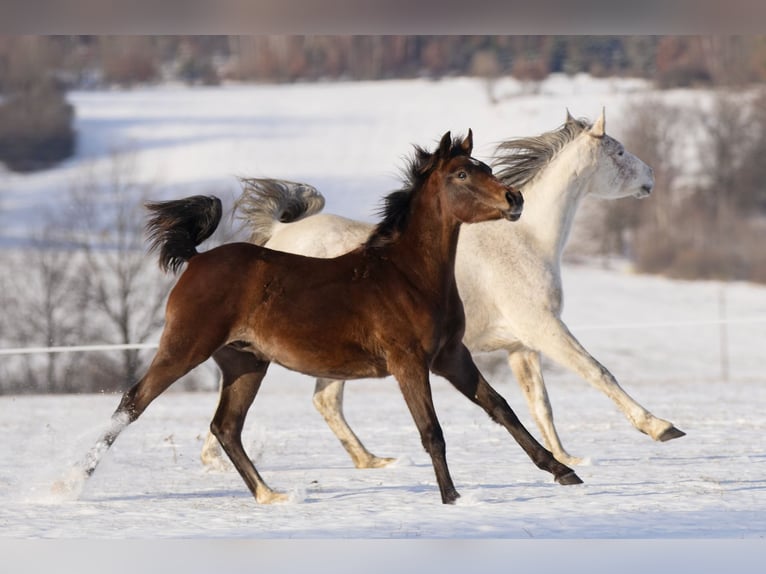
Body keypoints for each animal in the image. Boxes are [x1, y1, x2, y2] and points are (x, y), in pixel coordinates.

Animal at [70, 129, 584, 504]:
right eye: (461, 174)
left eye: (487, 168)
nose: (515, 200)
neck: (407, 275)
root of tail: (197, 260)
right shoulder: (409, 363)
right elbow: (431, 431)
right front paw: (452, 497)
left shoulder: (451, 357)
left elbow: (502, 409)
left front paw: (563, 471)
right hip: (185, 347)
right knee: (132, 404)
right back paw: (67, 486)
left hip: (245, 363)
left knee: (226, 427)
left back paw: (271, 496)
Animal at [201, 109, 688, 472]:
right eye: (619, 150)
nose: (651, 177)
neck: (526, 239)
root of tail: (280, 235)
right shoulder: (544, 328)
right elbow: (597, 372)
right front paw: (661, 427)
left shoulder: (521, 346)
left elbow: (540, 404)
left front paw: (564, 458)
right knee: (309, 399)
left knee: (321, 401)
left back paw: (371, 461)